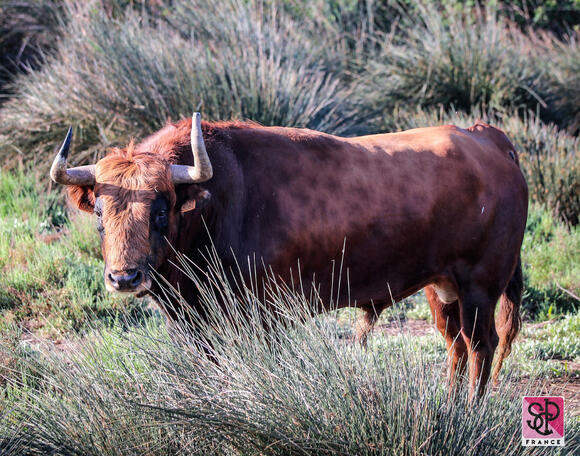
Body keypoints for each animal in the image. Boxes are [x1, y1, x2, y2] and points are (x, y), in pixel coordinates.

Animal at [52, 113, 528, 396]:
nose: (124, 278)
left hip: (480, 286)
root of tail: (485, 136)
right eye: (99, 212)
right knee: (457, 346)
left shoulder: (265, 316)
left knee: (481, 347)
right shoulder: (192, 321)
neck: (220, 200)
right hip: (442, 289)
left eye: (161, 209)